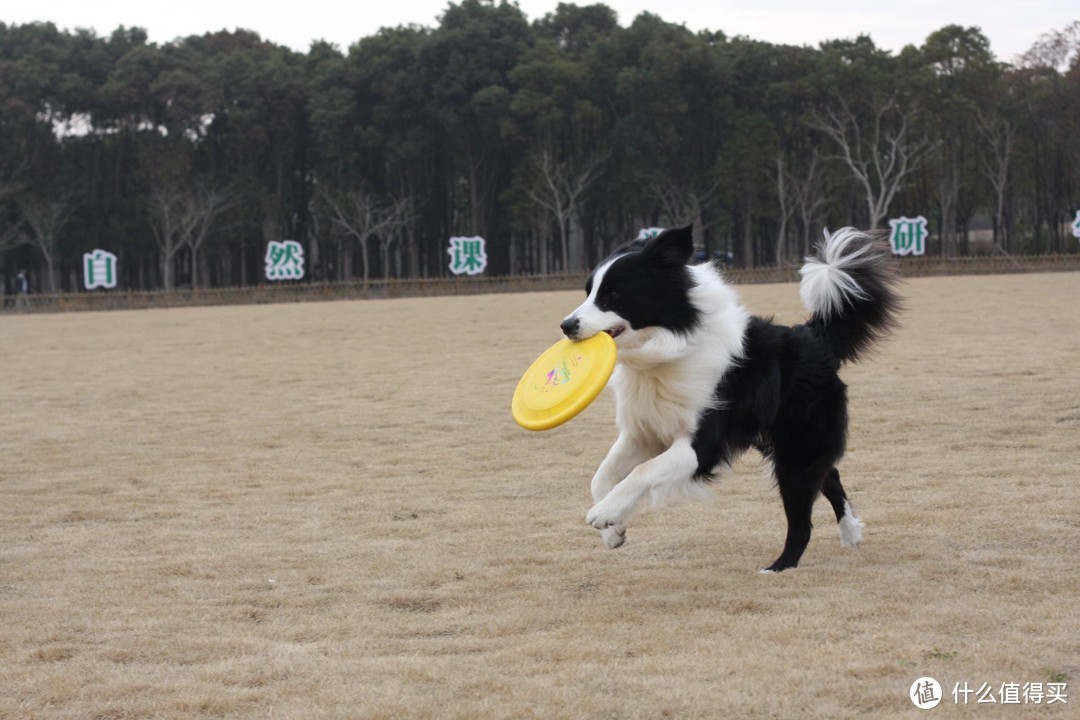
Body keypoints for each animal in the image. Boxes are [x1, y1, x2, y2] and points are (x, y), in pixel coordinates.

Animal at [561, 226, 898, 574]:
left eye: (613, 294)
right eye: (588, 292)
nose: (566, 326)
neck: (666, 349)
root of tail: (813, 336)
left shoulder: (702, 444)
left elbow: (642, 471)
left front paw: (603, 514)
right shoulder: (644, 432)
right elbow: (600, 476)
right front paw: (613, 530)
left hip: (797, 448)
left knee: (803, 519)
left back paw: (778, 567)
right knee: (830, 475)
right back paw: (850, 533)